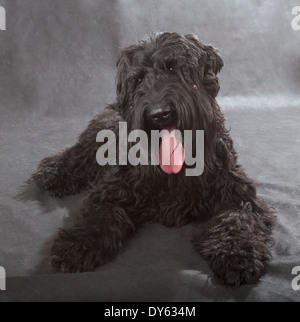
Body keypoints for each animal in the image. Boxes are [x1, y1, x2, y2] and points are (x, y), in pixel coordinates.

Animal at [32, 32, 274, 286]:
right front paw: (74, 246)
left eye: (173, 68)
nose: (159, 114)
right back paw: (53, 172)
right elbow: (96, 216)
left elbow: (237, 220)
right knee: (78, 154)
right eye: (138, 78)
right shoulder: (111, 191)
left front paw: (237, 254)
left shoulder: (237, 194)